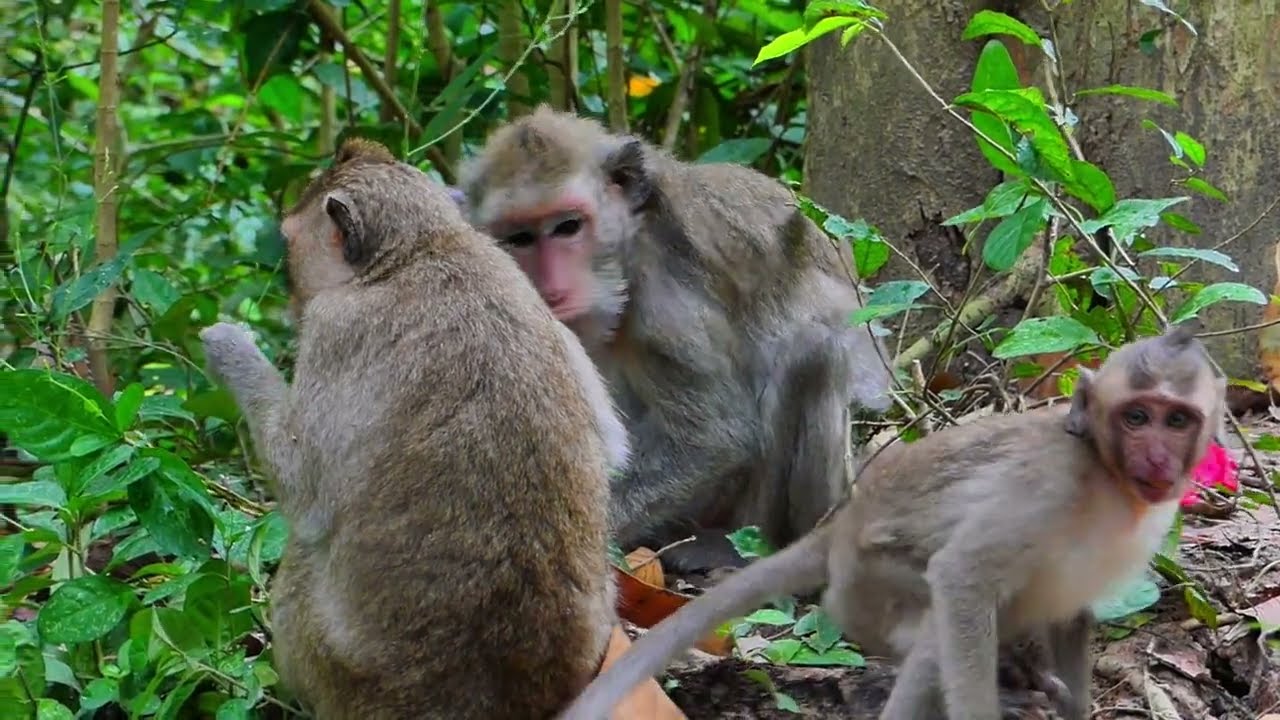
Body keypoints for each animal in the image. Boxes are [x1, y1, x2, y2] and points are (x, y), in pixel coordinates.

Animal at [199, 137, 631, 719]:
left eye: (289, 246)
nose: (290, 302)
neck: (423, 249)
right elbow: (615, 446)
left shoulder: (336, 326)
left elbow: (304, 493)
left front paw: (229, 345)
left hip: (340, 672)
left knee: (302, 560)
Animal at [456, 106, 896, 572]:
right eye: (520, 237)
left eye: (568, 227)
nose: (552, 288)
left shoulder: (664, 297)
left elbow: (715, 438)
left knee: (815, 351)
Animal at [553, 324, 1226, 720]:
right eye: (1137, 416)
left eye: (1177, 420)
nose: (1157, 459)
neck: (1108, 479)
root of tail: (844, 521)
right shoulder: (1047, 487)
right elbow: (962, 577)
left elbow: (1071, 618)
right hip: (867, 589)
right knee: (933, 629)